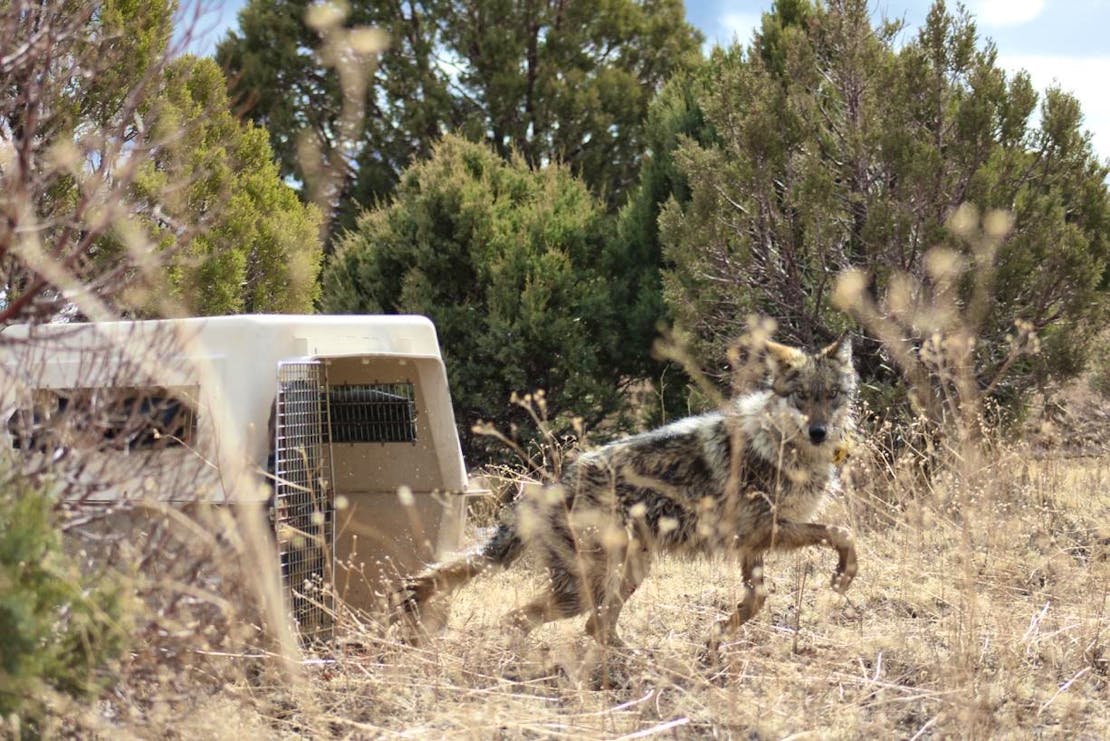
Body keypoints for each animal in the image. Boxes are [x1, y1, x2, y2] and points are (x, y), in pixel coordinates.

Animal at [390, 339, 856, 652]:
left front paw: (719, 633)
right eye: (802, 397)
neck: (784, 445)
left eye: (831, 396)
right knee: (522, 619)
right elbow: (841, 533)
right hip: (587, 588)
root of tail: (554, 486)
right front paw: (843, 577)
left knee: (593, 627)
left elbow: (762, 595)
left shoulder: (752, 543)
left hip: (631, 571)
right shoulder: (761, 533)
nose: (819, 431)